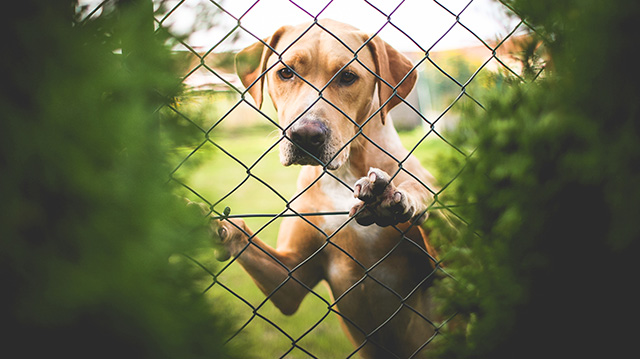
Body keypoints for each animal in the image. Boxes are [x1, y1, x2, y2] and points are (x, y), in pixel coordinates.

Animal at [212, 20, 442, 359]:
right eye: (285, 72)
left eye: (348, 76)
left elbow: (423, 195)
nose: (305, 136)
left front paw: (399, 195)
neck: (344, 173)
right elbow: (249, 241)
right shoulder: (290, 279)